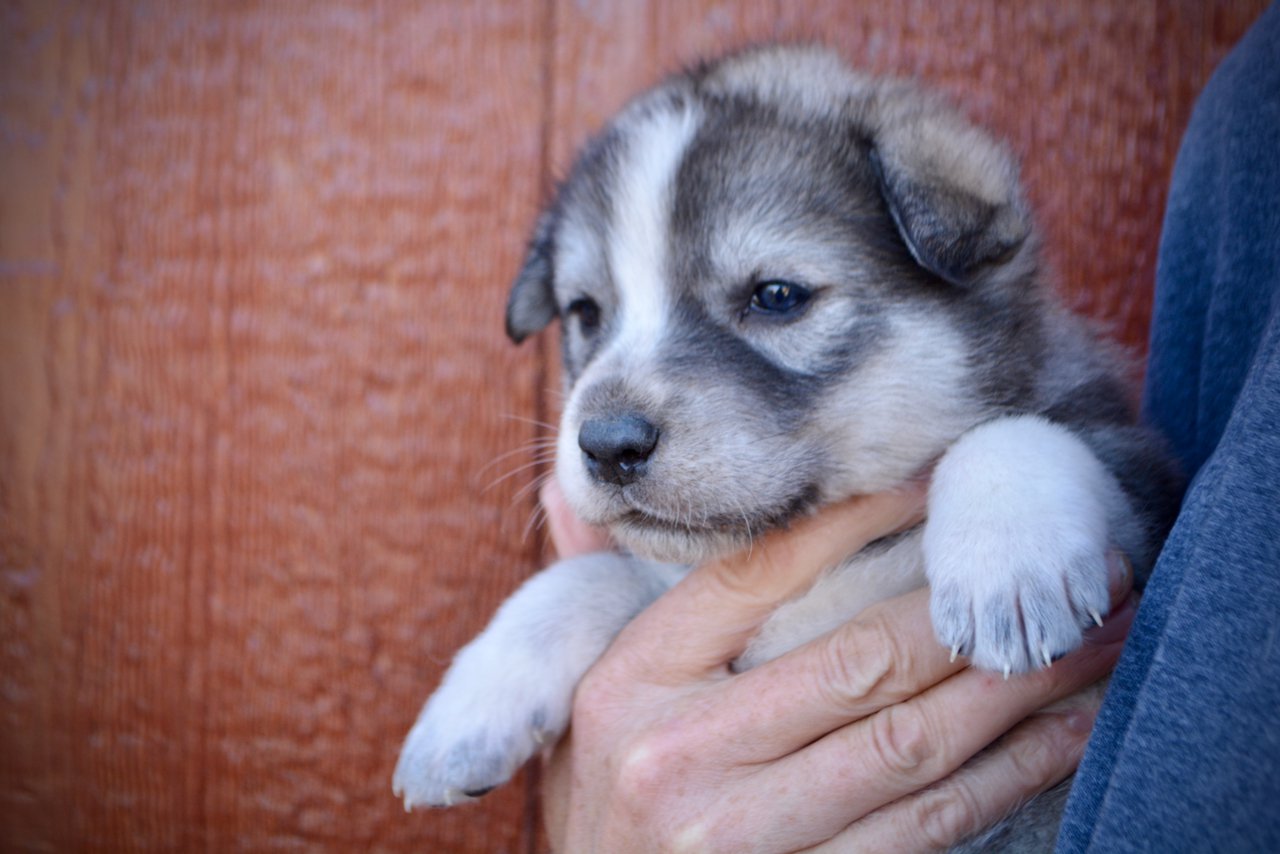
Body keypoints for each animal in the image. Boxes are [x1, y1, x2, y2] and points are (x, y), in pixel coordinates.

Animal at [391, 45, 1177, 839]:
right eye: (585, 312)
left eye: (776, 296)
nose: (606, 447)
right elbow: (589, 573)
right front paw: (468, 710)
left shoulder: (1141, 505)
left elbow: (1015, 432)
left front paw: (1008, 564)